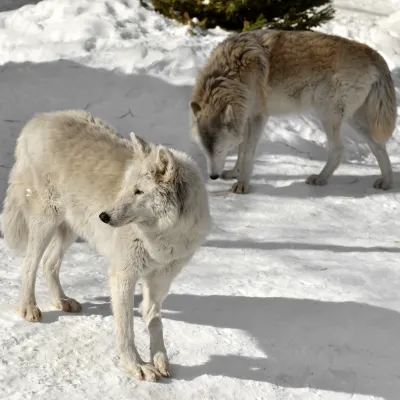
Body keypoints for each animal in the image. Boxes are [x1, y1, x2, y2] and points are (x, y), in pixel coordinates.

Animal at [1, 109, 212, 382]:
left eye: (139, 191)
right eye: (126, 188)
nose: (104, 216)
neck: (164, 234)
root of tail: (39, 119)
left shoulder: (161, 279)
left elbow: (154, 319)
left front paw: (160, 360)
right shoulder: (123, 275)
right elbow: (126, 329)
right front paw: (137, 366)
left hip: (71, 229)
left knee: (49, 263)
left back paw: (62, 301)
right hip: (45, 223)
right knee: (29, 266)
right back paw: (28, 308)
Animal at [191, 29, 396, 194]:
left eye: (219, 150)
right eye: (205, 150)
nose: (213, 177)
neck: (232, 75)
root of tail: (373, 53)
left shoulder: (258, 117)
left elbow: (248, 153)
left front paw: (242, 185)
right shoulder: (245, 118)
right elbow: (241, 150)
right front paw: (235, 173)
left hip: (328, 115)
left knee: (339, 149)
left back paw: (320, 178)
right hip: (353, 119)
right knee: (378, 146)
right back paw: (386, 182)